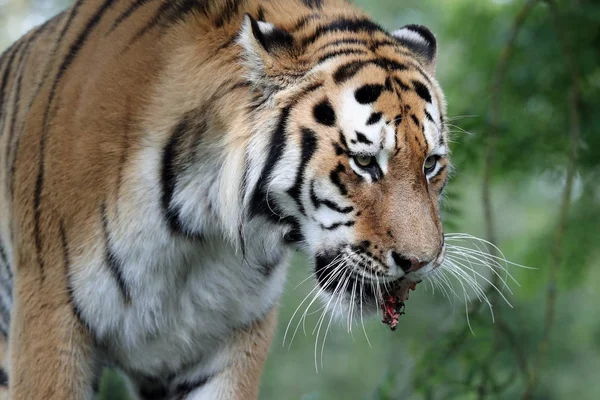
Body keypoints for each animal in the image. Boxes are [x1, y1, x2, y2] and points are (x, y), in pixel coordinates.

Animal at [0, 0, 450, 398]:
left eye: (430, 164)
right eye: (364, 161)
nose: (419, 262)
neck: (197, 229)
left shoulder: (225, 339)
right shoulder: (49, 317)